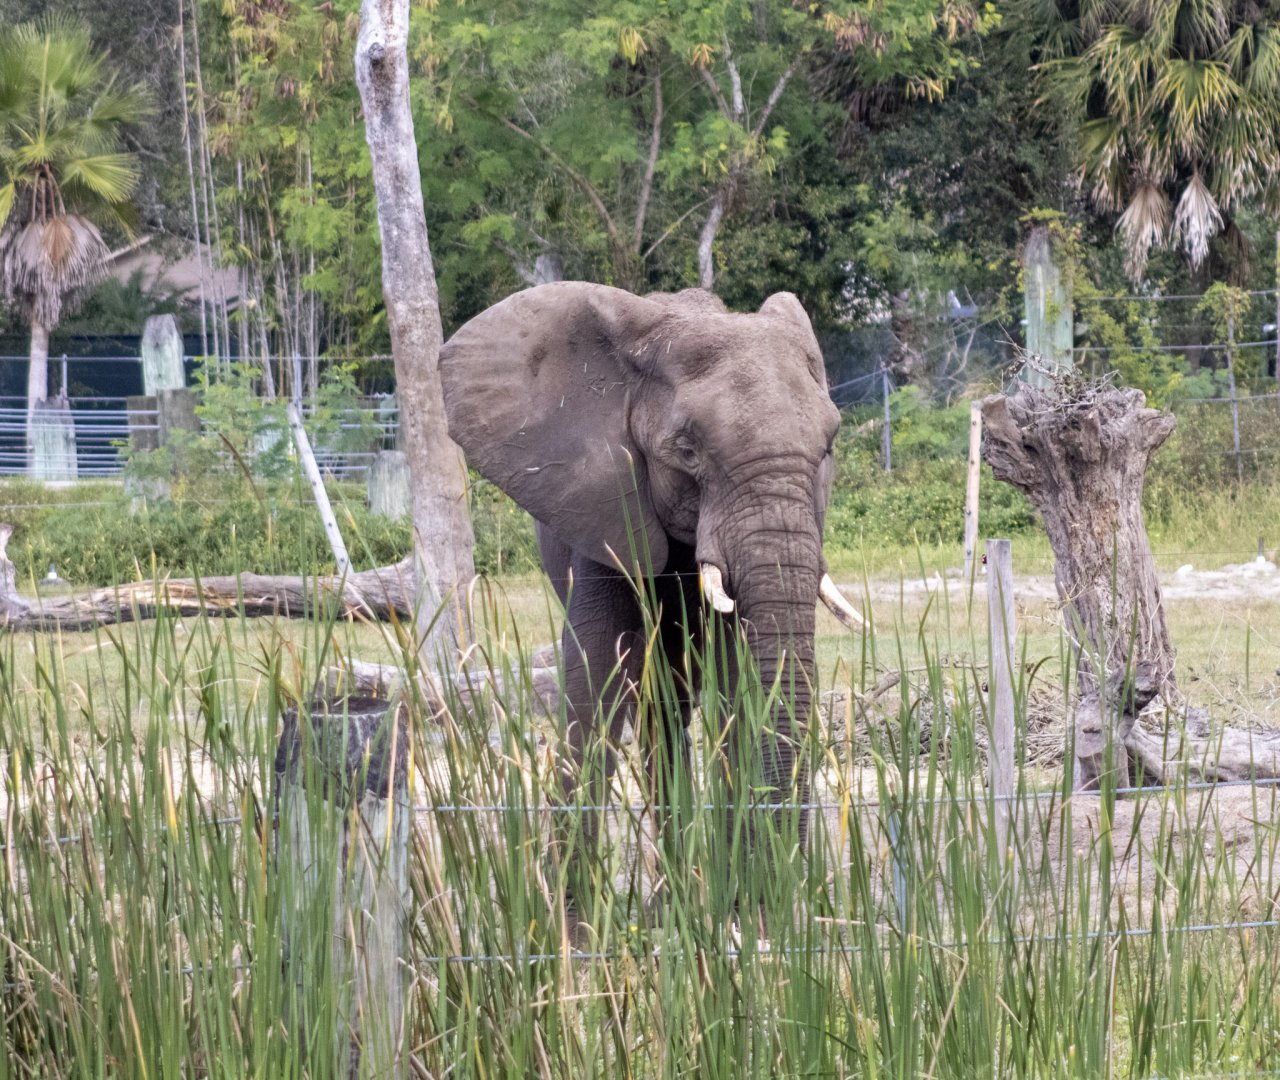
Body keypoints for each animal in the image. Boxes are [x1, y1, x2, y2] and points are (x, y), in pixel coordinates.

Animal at [438, 282, 865, 880]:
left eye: (828, 447)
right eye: (686, 450)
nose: (786, 881)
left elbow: (737, 688)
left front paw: (744, 900)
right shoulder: (599, 504)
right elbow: (594, 684)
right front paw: (571, 906)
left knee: (669, 710)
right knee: (653, 709)